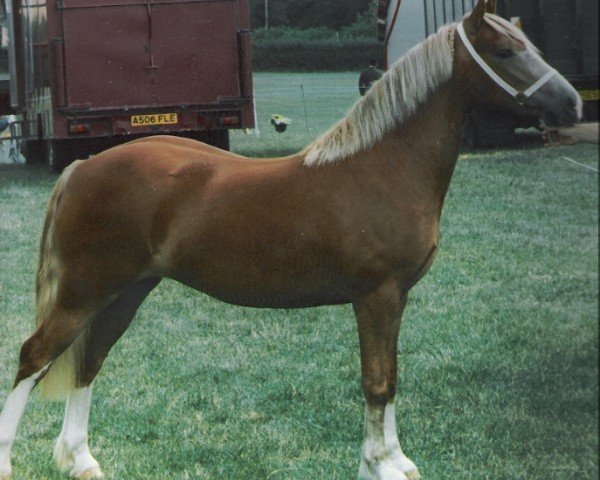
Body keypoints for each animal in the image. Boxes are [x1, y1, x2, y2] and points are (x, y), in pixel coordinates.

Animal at [0, 1, 580, 478]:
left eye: (531, 46)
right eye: (504, 51)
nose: (573, 105)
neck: (384, 165)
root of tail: (85, 165)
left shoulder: (395, 298)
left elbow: (391, 378)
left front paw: (394, 460)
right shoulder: (377, 296)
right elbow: (377, 381)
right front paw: (382, 465)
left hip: (124, 293)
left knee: (89, 360)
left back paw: (83, 462)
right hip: (85, 291)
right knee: (34, 356)